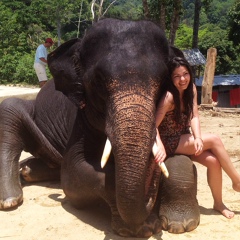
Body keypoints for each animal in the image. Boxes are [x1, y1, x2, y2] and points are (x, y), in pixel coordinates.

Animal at [0, 17, 200, 237]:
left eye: (163, 79)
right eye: (98, 80)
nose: (150, 190)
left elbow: (178, 157)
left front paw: (182, 224)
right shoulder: (81, 122)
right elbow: (72, 174)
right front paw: (142, 227)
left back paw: (28, 170)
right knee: (9, 111)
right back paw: (10, 199)